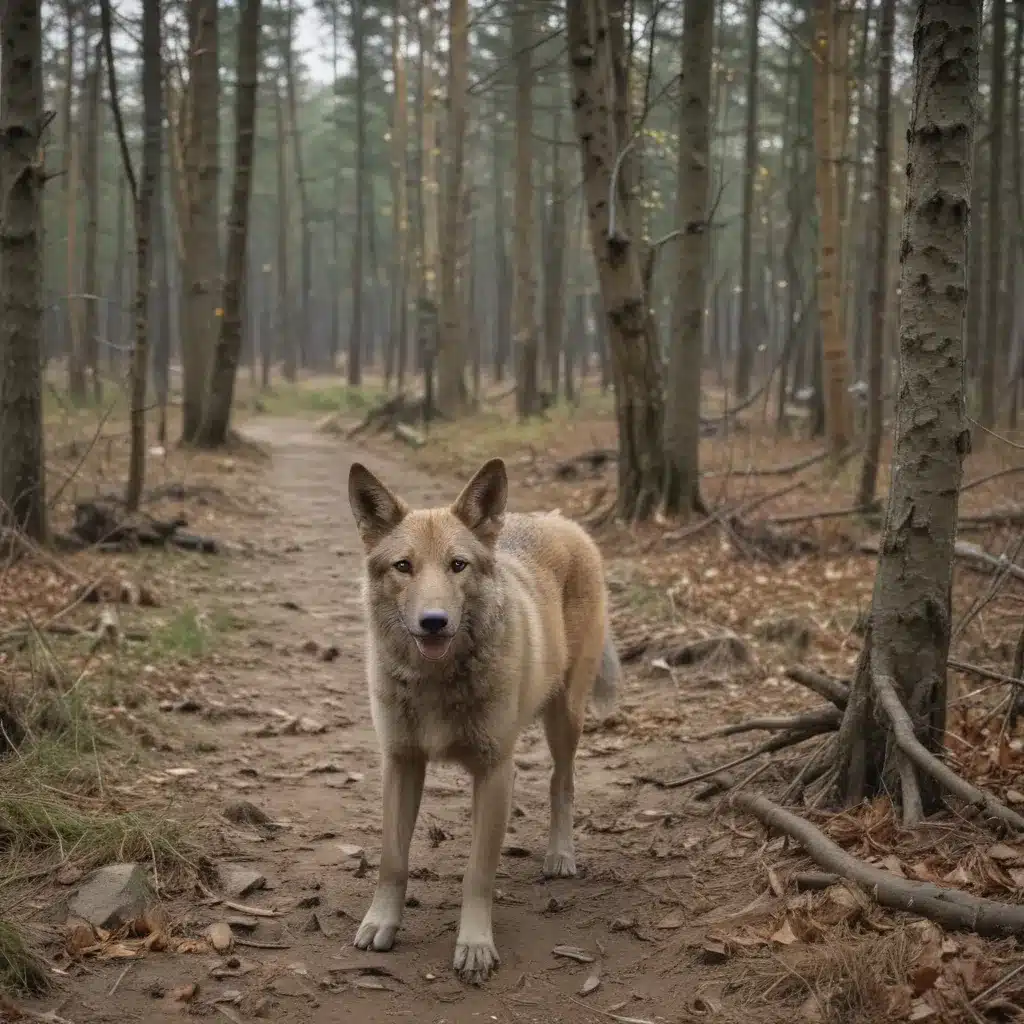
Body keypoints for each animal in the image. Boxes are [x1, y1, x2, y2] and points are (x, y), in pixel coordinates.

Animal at [348, 458, 618, 983]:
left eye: (458, 565)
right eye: (403, 566)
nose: (434, 621)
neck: (435, 680)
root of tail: (563, 521)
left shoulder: (495, 771)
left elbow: (477, 871)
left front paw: (474, 945)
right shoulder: (401, 763)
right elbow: (392, 859)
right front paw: (381, 923)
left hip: (564, 719)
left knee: (562, 783)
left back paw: (560, 855)